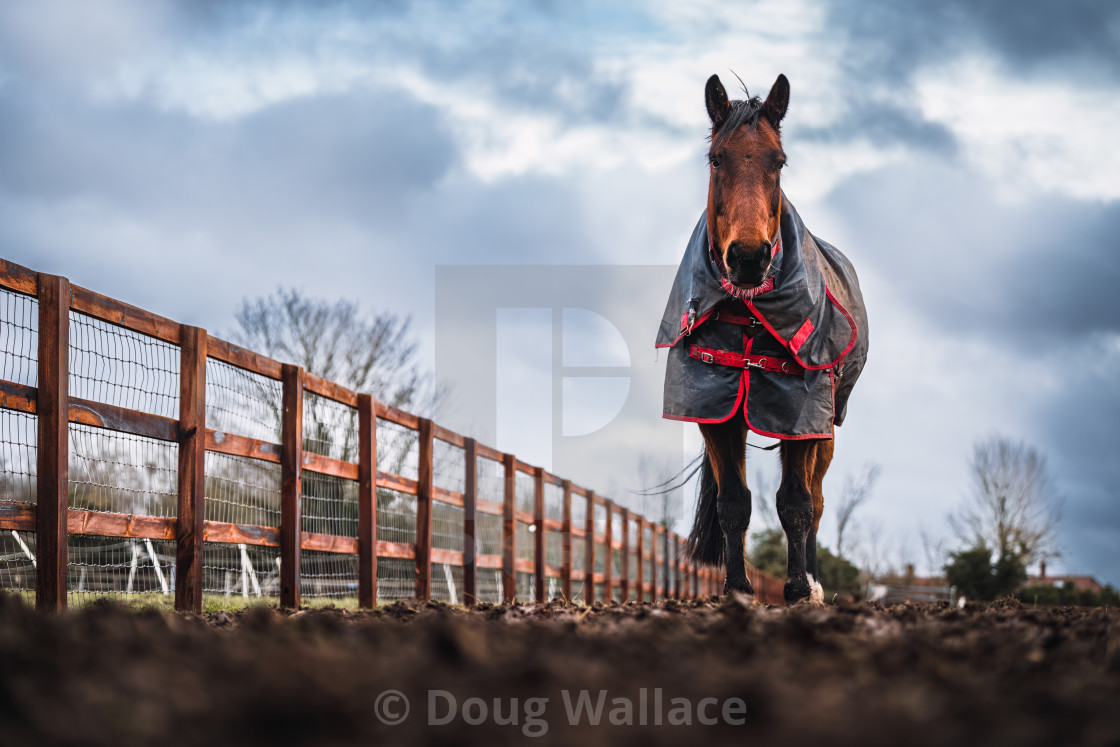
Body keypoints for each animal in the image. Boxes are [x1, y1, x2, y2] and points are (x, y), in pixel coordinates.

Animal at [654, 72, 864, 604]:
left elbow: (796, 503)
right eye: (716, 159)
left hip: (826, 428)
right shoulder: (716, 411)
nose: (748, 257)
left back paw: (813, 581)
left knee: (817, 500)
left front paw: (798, 588)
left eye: (779, 160)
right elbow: (734, 503)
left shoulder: (801, 415)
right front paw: (737, 589)